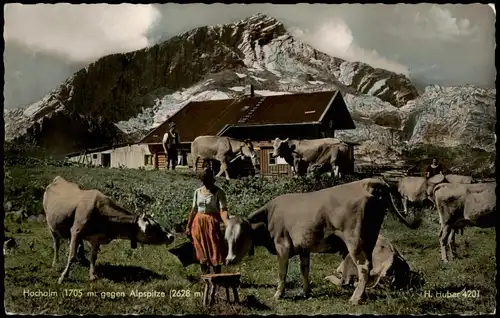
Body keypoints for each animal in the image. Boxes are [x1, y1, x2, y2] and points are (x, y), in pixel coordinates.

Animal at [43, 176, 176, 284]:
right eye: (153, 227)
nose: (171, 236)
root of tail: (58, 179)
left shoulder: (96, 238)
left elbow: (93, 257)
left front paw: (93, 275)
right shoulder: (76, 231)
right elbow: (72, 256)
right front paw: (63, 277)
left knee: (68, 242)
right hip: (50, 225)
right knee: (56, 244)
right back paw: (55, 263)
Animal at [225, 179, 416, 306]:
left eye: (240, 237)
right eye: (226, 238)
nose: (228, 260)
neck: (270, 216)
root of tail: (366, 182)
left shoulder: (282, 247)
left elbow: (282, 273)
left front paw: (279, 294)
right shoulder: (303, 247)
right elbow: (304, 270)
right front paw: (306, 291)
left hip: (355, 242)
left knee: (363, 268)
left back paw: (355, 298)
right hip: (369, 240)